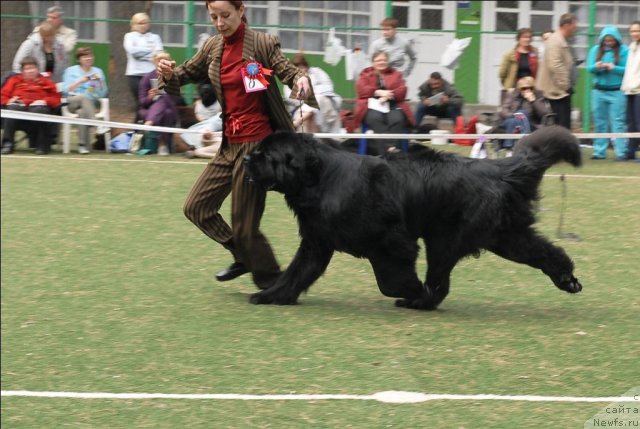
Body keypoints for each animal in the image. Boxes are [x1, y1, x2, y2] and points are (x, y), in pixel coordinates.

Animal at [242, 125, 584, 310]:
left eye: (266, 155)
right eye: (258, 151)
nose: (245, 158)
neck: (321, 180)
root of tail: (500, 167)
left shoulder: (392, 241)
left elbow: (390, 280)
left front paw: (412, 291)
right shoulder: (317, 242)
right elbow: (295, 273)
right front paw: (270, 295)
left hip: (446, 239)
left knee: (440, 281)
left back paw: (421, 300)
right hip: (504, 235)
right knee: (546, 251)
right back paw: (567, 279)